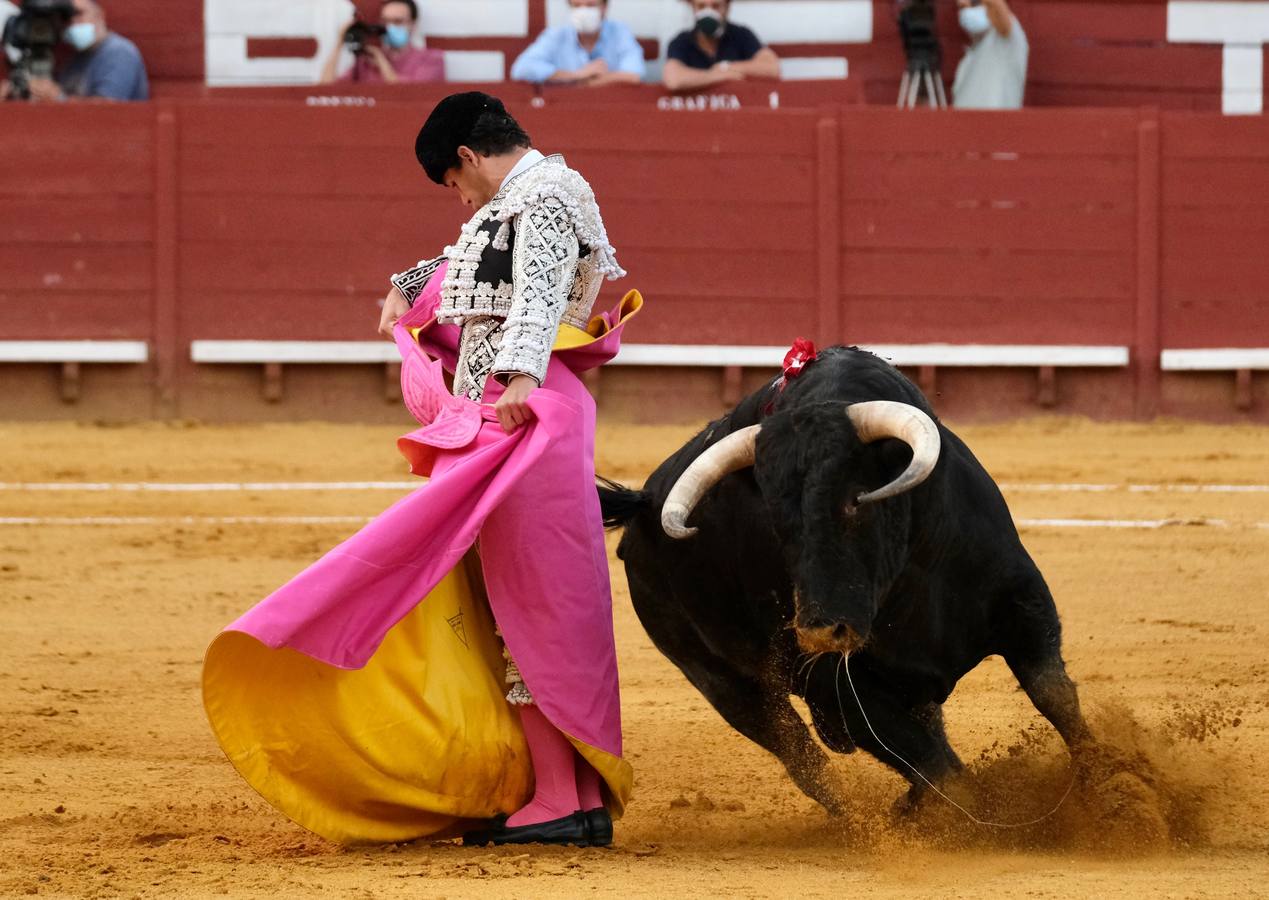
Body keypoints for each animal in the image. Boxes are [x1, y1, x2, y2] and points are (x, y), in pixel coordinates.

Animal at [598, 347, 1096, 812]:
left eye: (856, 500)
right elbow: (937, 768)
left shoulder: (1024, 605)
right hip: (722, 681)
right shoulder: (836, 690)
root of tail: (643, 505)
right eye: (776, 521)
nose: (821, 632)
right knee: (803, 759)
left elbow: (1054, 696)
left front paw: (1103, 793)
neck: (906, 583)